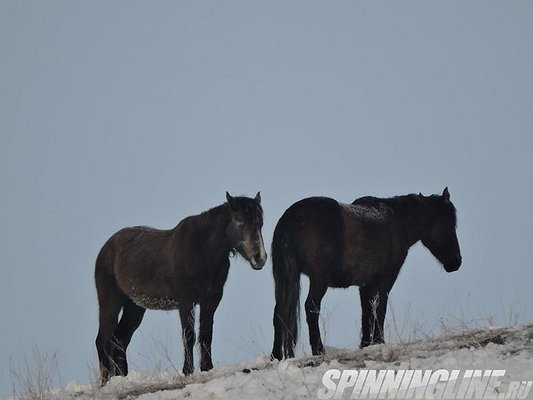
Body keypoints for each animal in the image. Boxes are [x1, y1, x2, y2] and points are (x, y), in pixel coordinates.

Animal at [94, 193, 266, 384]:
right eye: (239, 222)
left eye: (260, 223)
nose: (260, 258)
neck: (202, 250)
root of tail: (106, 248)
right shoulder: (186, 301)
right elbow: (189, 335)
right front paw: (188, 371)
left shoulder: (211, 300)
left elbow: (206, 334)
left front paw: (207, 368)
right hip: (110, 303)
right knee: (103, 340)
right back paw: (105, 382)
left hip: (135, 307)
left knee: (120, 339)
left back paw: (122, 377)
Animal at [272, 188, 460, 360]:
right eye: (449, 223)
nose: (456, 262)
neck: (396, 222)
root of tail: (290, 220)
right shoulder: (385, 279)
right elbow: (379, 309)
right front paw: (378, 342)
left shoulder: (365, 284)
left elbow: (367, 311)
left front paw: (366, 344)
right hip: (319, 280)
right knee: (311, 308)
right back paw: (319, 351)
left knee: (279, 312)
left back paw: (276, 356)